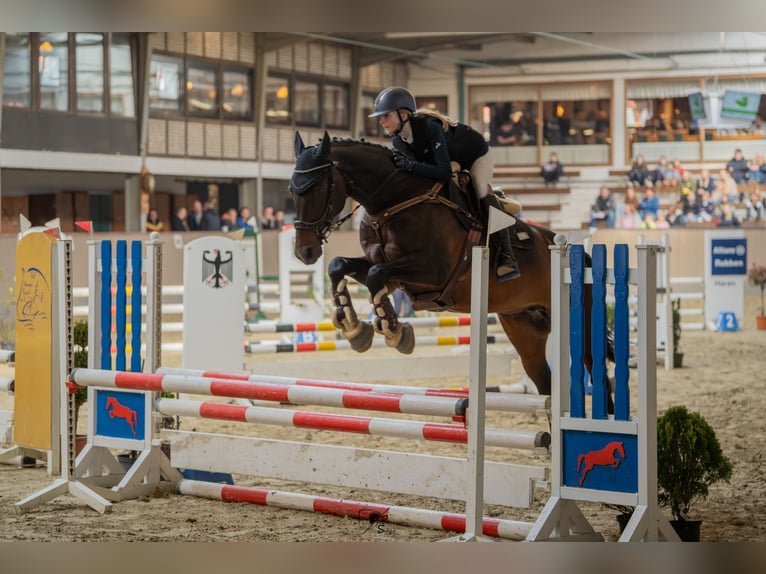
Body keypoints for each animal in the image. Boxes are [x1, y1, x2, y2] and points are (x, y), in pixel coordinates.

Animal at [290, 130, 612, 402]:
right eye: (292, 190)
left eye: (317, 188)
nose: (304, 251)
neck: (393, 202)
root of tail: (575, 252)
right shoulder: (395, 276)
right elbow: (341, 266)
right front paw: (354, 327)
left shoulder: (433, 272)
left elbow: (374, 275)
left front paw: (394, 332)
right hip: (524, 325)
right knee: (543, 382)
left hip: (580, 322)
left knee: (594, 369)